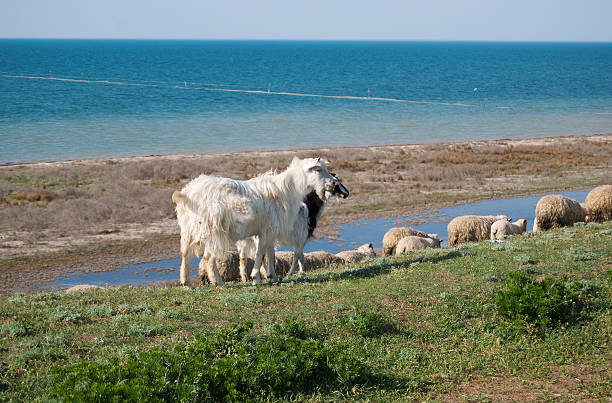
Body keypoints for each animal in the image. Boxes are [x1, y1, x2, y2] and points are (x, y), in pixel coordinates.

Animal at [171, 157, 334, 288]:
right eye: (318, 169)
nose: (333, 182)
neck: (285, 190)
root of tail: (189, 194)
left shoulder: (269, 231)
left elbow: (269, 254)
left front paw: (272, 277)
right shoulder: (266, 231)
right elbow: (260, 253)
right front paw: (256, 278)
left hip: (188, 230)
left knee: (185, 254)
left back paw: (187, 283)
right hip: (214, 231)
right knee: (208, 258)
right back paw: (220, 283)